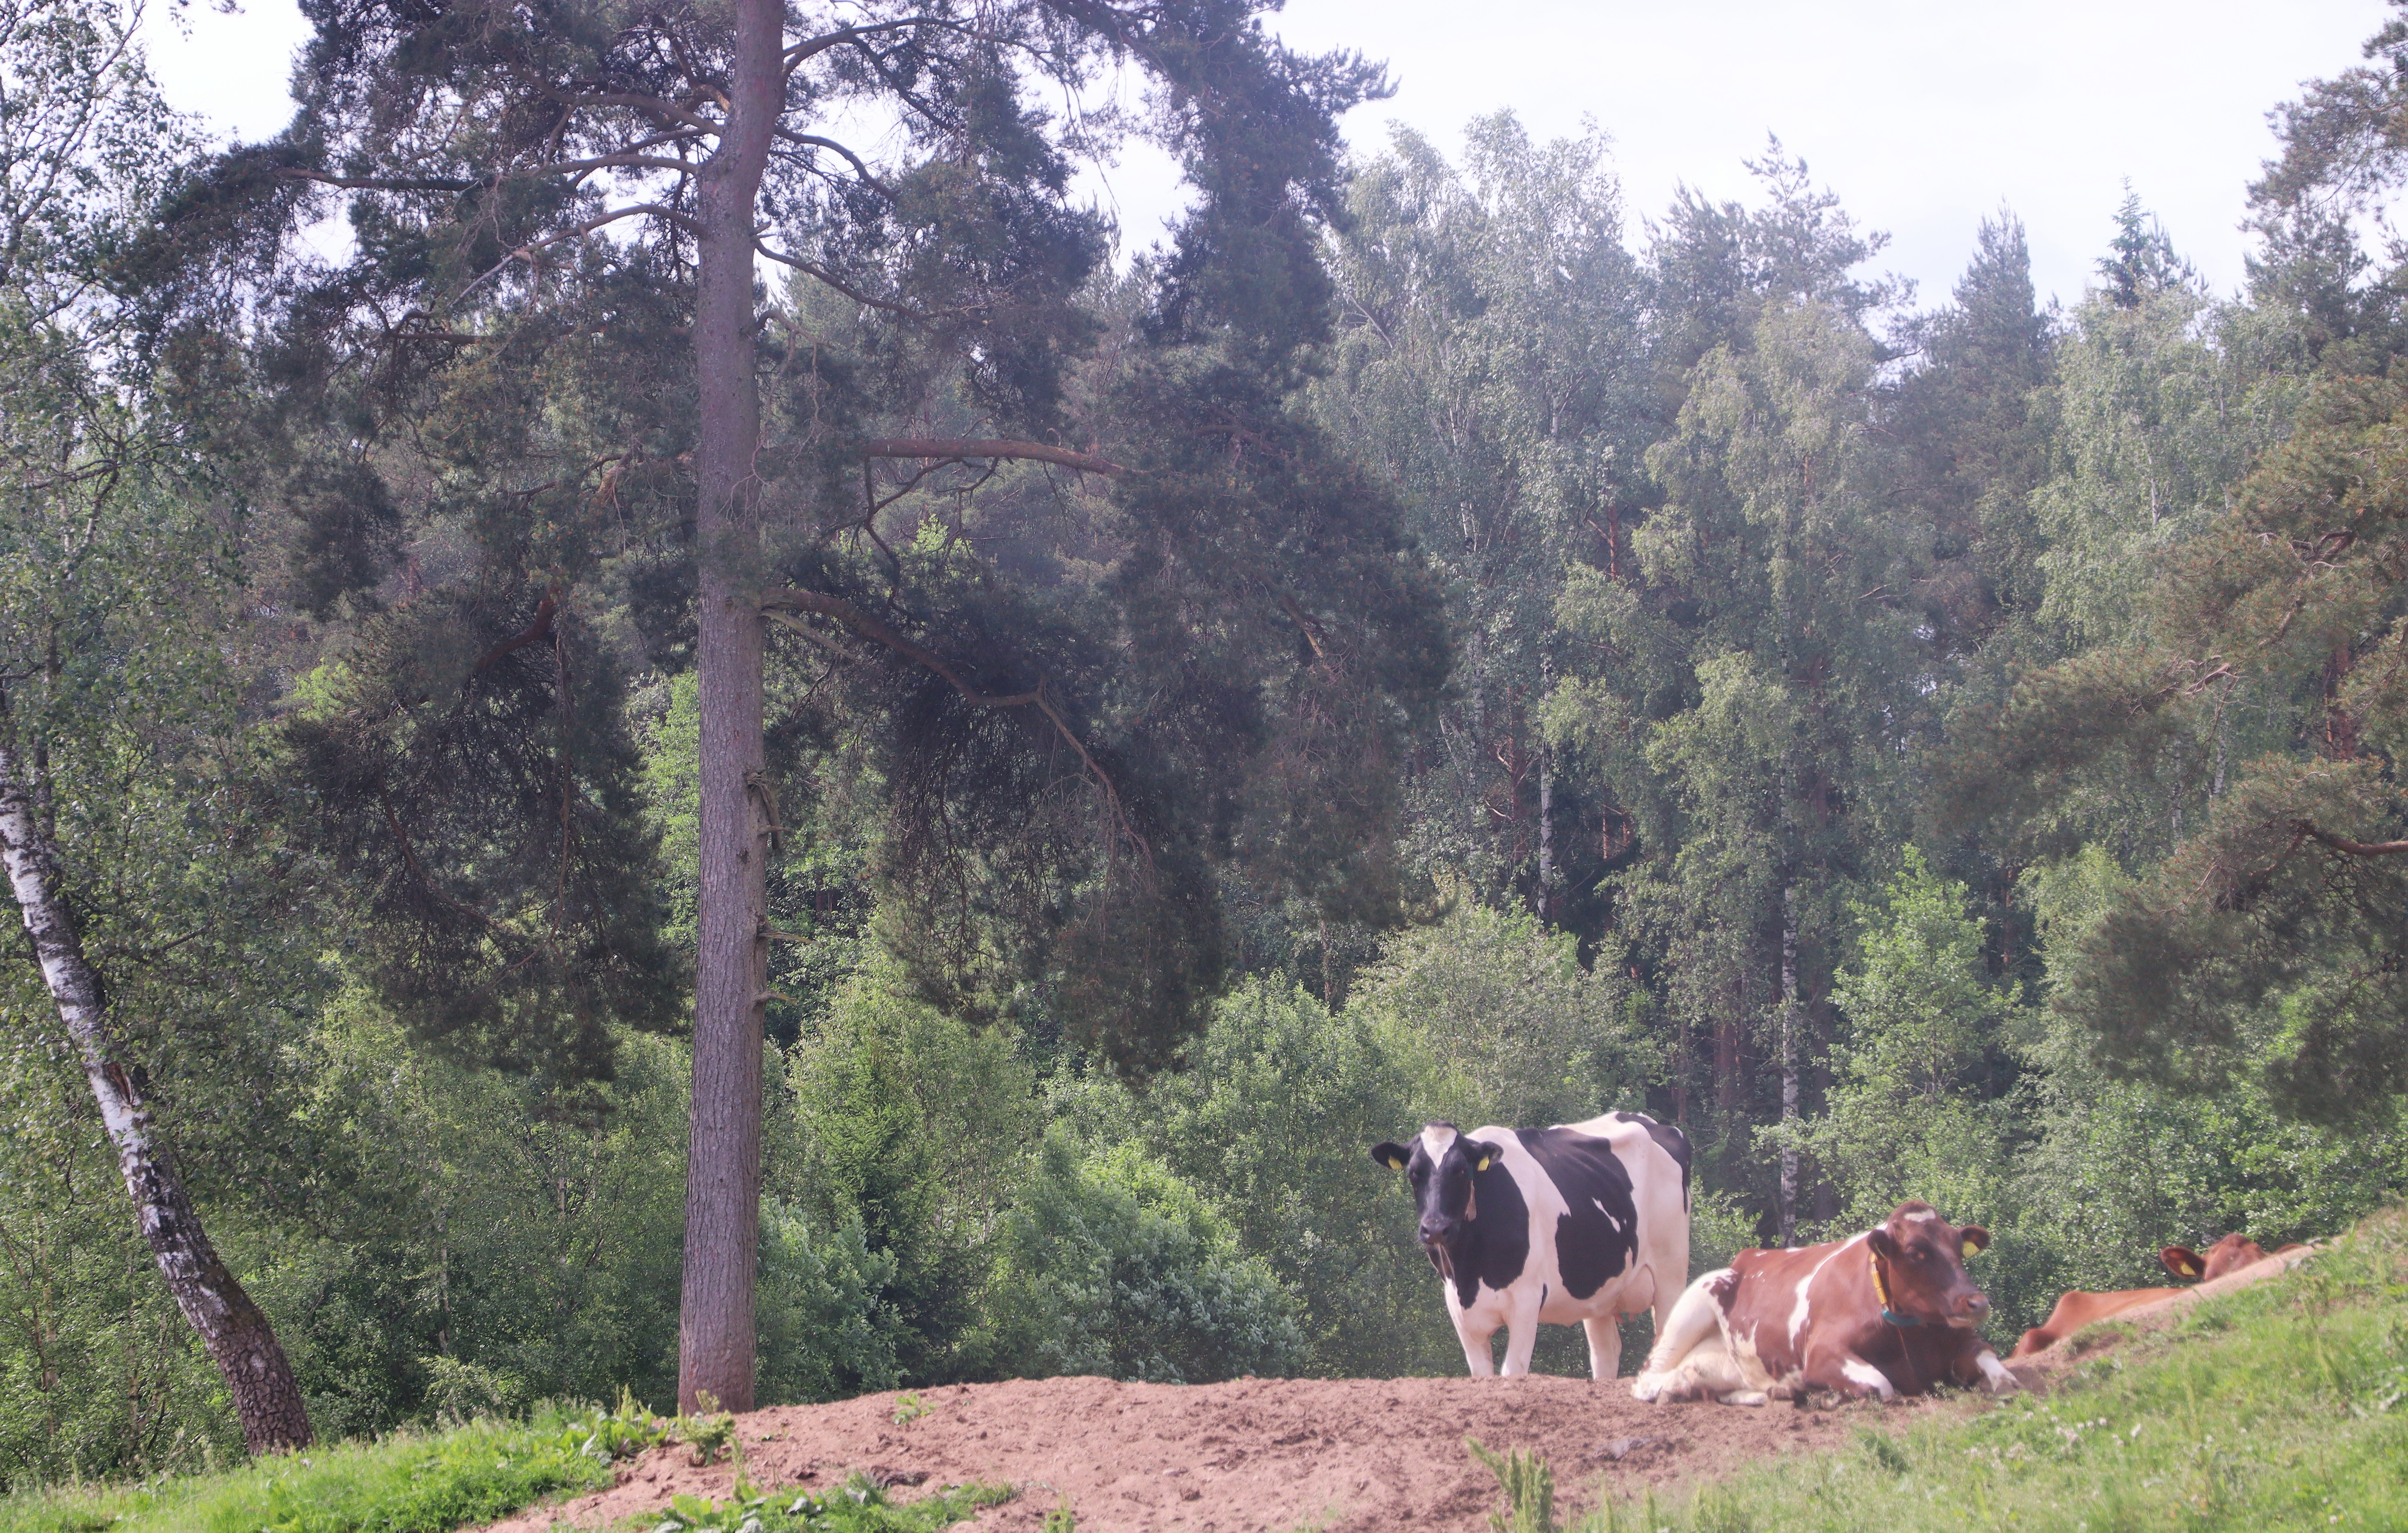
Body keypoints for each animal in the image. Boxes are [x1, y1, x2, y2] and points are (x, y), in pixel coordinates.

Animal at [1369, 1112, 1692, 1380]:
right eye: (1414, 1173)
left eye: (1460, 1171)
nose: (1436, 1228)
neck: (1469, 1271)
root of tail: (1654, 1123)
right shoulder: (1459, 1309)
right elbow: (1481, 1375)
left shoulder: (1527, 1301)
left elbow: (1513, 1372)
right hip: (1600, 1292)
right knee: (1606, 1353)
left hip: (1671, 1274)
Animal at [1631, 1201, 2018, 1405]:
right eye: (1915, 1252)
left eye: (1958, 1248)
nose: (1977, 1302)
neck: (1910, 1337)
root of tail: (1745, 1259)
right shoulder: (1822, 1352)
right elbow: (1880, 1385)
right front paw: (1828, 1395)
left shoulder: (1961, 1339)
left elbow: (1998, 1367)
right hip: (1691, 1303)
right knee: (1647, 1377)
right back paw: (1676, 1387)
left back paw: (1773, 1389)